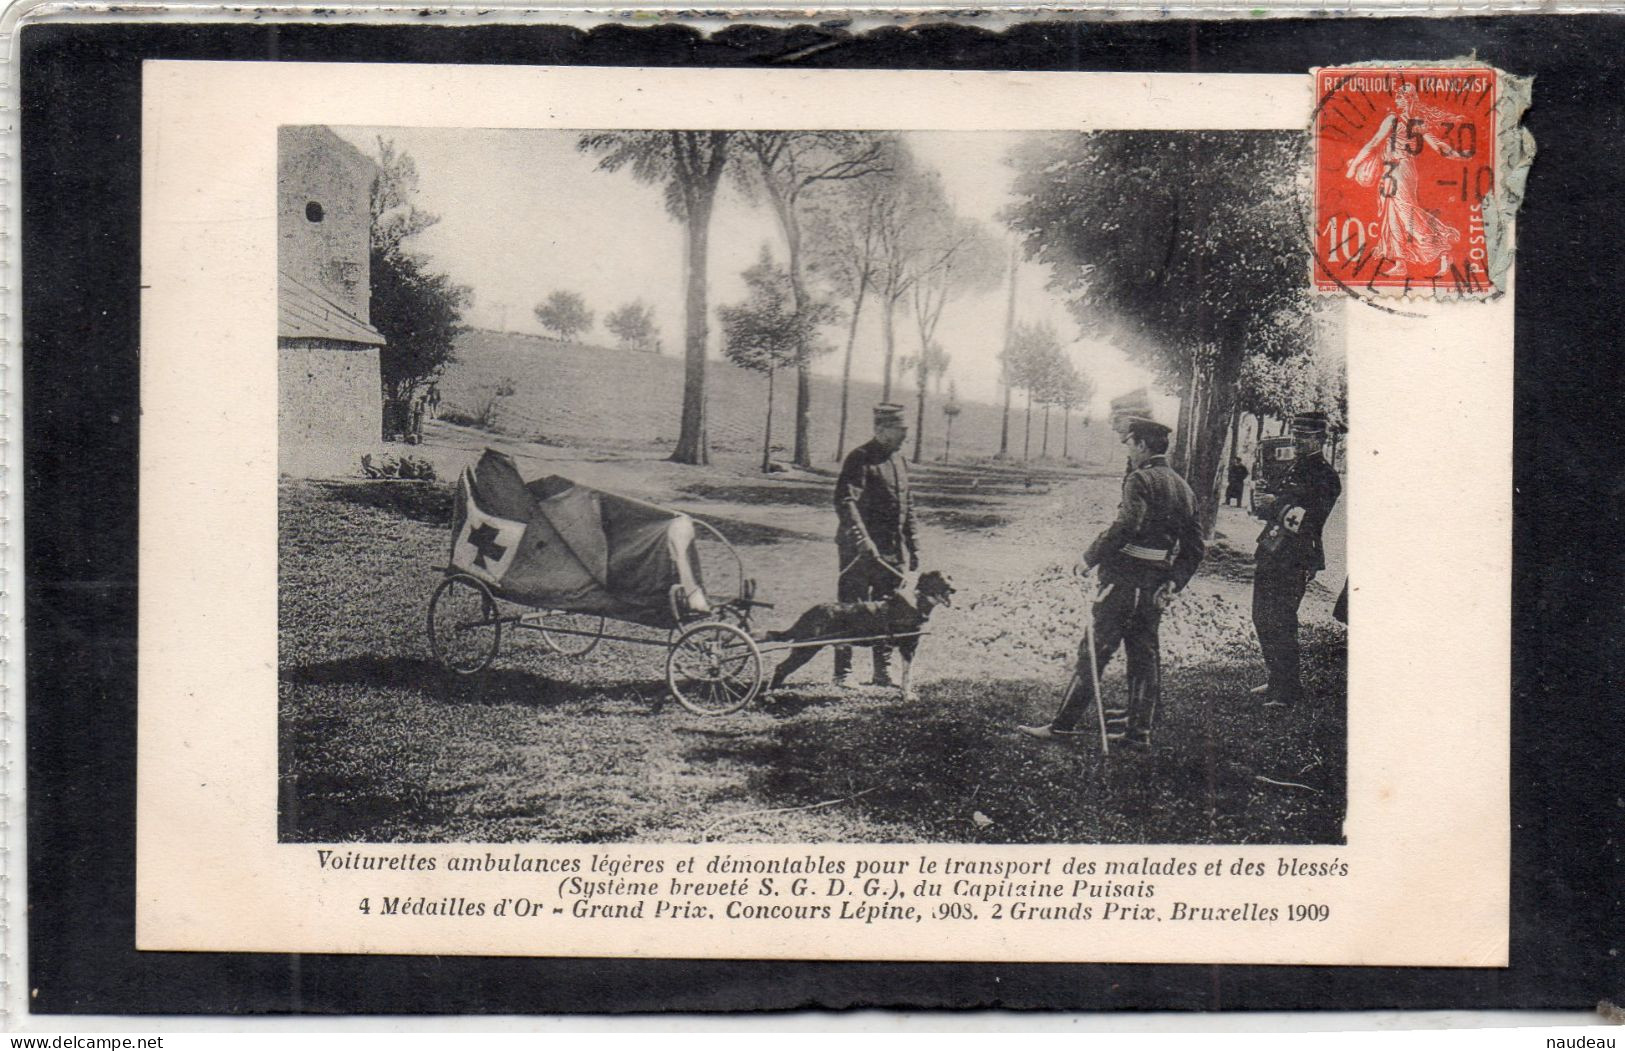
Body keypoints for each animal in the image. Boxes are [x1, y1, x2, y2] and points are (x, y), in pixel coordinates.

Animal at [767, 568, 955, 698]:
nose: (954, 589)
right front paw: (907, 697)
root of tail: (808, 613)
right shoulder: (908, 647)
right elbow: (907, 675)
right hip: (806, 649)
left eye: (950, 577)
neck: (917, 603)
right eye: (938, 578)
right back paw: (769, 696)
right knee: (781, 668)